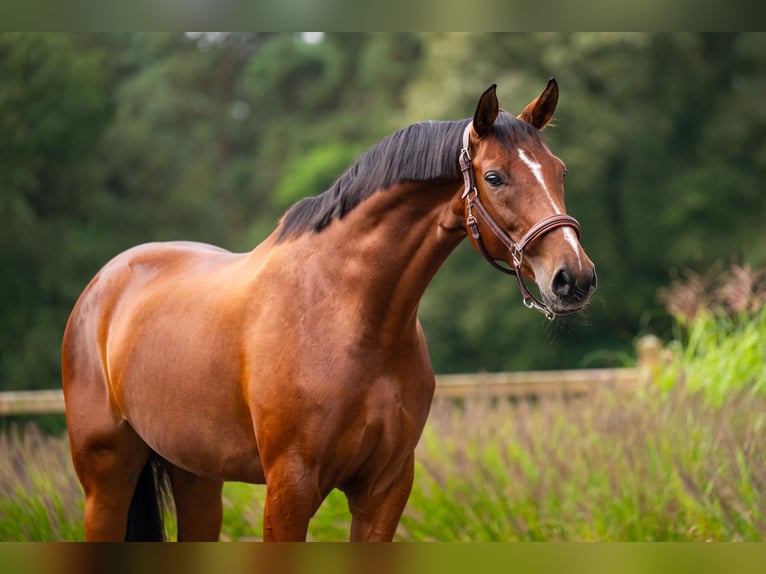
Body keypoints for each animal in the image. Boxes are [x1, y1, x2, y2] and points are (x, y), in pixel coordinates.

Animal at [61, 79, 600, 544]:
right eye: (494, 177)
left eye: (560, 171)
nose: (573, 278)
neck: (348, 315)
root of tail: (103, 286)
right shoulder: (290, 487)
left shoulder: (384, 489)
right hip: (106, 481)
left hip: (196, 477)